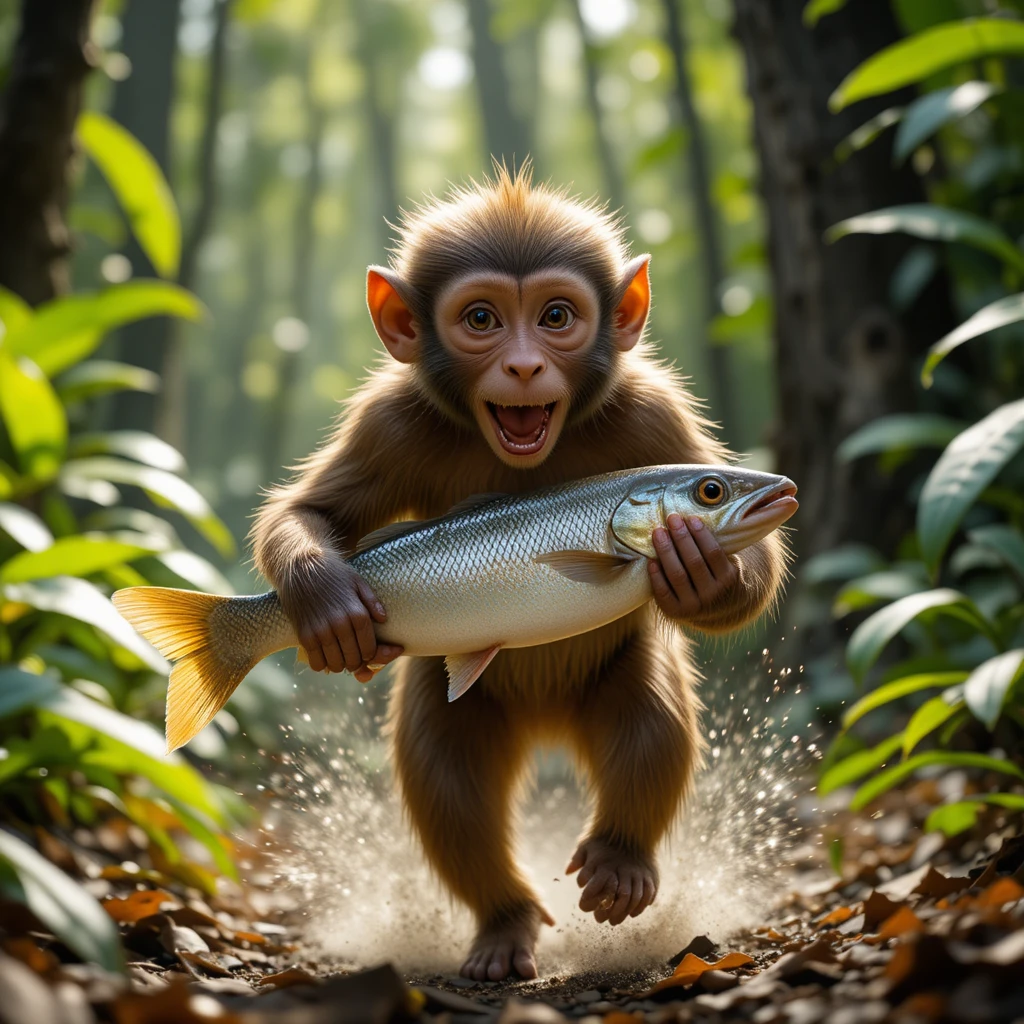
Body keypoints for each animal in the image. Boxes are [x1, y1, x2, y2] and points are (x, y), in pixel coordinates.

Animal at [251, 165, 787, 982]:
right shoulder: (388, 417)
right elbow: (311, 510)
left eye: (556, 315)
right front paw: (330, 604)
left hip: (617, 679)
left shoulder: (654, 409)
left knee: (653, 728)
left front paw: (709, 574)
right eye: (711, 490)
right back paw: (506, 929)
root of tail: (546, 726)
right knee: (447, 785)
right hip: (454, 698)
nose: (526, 364)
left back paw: (619, 869)